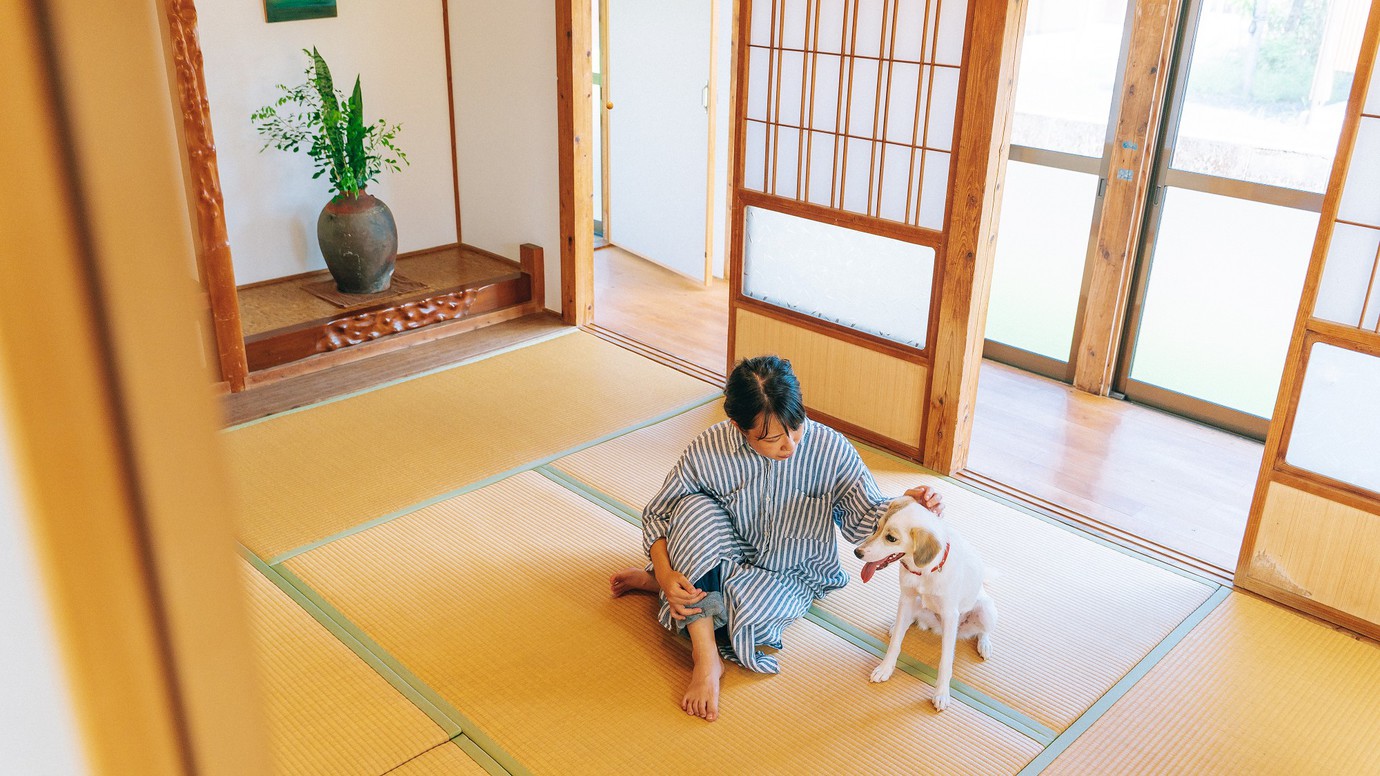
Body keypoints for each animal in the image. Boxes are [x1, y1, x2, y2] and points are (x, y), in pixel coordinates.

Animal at [850, 494, 993, 706]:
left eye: (891, 538)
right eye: (876, 527)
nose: (857, 552)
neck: (923, 572)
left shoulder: (950, 615)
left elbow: (945, 662)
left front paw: (941, 693)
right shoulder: (907, 597)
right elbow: (895, 644)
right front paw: (885, 668)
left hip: (986, 610)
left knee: (983, 632)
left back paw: (985, 645)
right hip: (912, 603)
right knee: (908, 620)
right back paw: (896, 626)